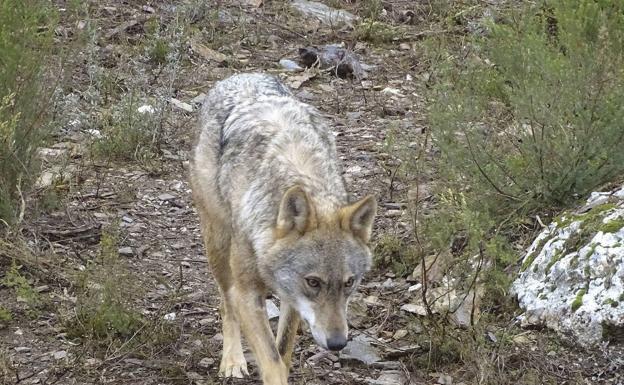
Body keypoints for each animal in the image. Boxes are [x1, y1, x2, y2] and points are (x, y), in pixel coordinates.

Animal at [190, 73, 376, 384]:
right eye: (313, 282)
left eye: (349, 283)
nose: (338, 343)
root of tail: (242, 75)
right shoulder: (247, 294)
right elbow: (272, 361)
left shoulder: (291, 298)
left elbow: (283, 353)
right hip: (218, 245)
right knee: (226, 305)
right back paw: (232, 361)